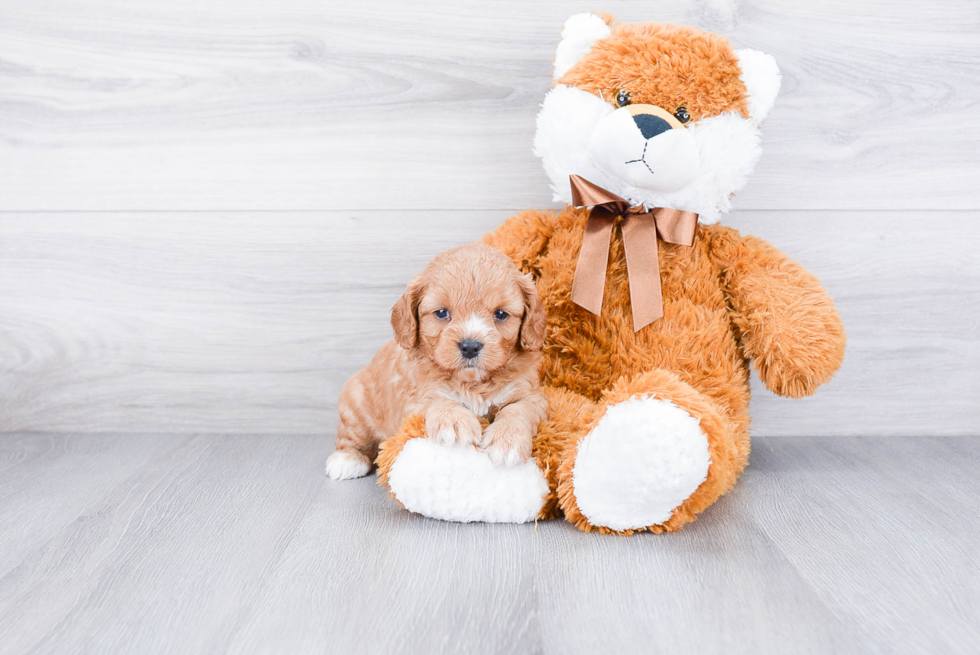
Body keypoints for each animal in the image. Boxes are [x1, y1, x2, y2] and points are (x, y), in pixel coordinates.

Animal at [326, 243, 548, 480]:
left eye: (500, 314)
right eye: (441, 312)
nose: (470, 346)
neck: (472, 383)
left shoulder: (531, 395)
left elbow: (518, 409)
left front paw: (507, 441)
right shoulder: (414, 396)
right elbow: (436, 400)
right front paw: (454, 422)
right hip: (355, 404)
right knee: (350, 438)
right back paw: (347, 460)